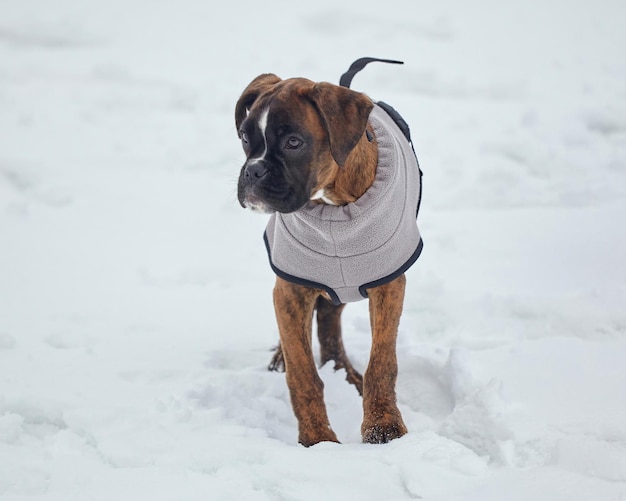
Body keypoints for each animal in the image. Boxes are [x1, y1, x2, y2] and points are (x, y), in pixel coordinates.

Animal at [236, 58, 422, 446]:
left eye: (294, 142)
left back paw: (345, 373)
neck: (333, 204)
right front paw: (317, 439)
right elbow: (303, 372)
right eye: (245, 138)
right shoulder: (291, 288)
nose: (253, 170)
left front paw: (383, 426)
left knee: (329, 319)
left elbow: (382, 361)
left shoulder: (389, 285)